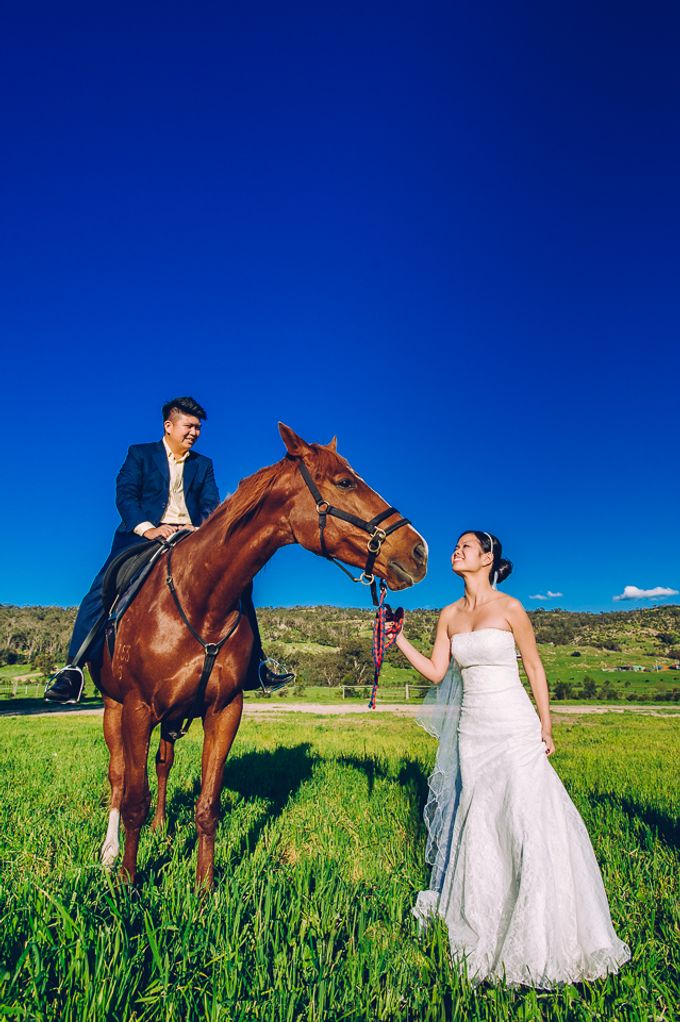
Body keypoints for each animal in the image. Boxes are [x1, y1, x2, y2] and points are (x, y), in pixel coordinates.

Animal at [93, 423, 427, 887]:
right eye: (345, 482)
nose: (419, 552)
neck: (201, 599)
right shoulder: (138, 709)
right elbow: (133, 801)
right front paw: (127, 883)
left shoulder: (224, 711)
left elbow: (207, 806)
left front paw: (204, 890)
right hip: (114, 707)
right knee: (119, 775)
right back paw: (108, 853)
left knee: (162, 763)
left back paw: (161, 828)